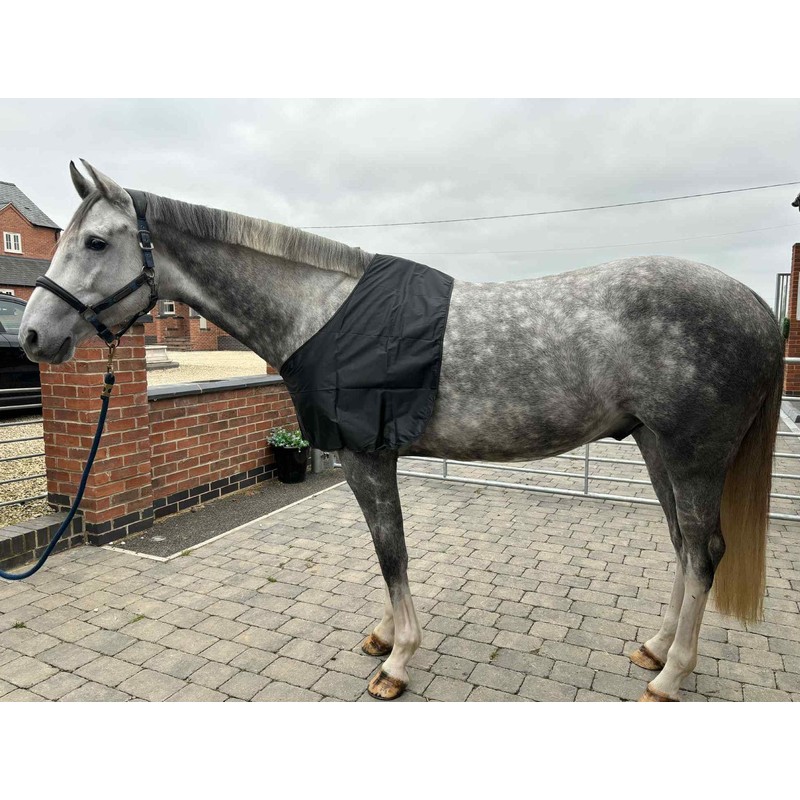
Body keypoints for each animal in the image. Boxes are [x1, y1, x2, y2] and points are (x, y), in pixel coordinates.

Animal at [19, 161, 784, 701]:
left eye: (95, 241)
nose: (32, 336)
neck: (323, 310)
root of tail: (753, 304)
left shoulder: (367, 457)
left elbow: (392, 552)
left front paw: (398, 659)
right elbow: (386, 552)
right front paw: (386, 636)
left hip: (693, 454)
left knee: (705, 551)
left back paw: (670, 675)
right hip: (658, 447)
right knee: (684, 548)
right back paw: (655, 648)